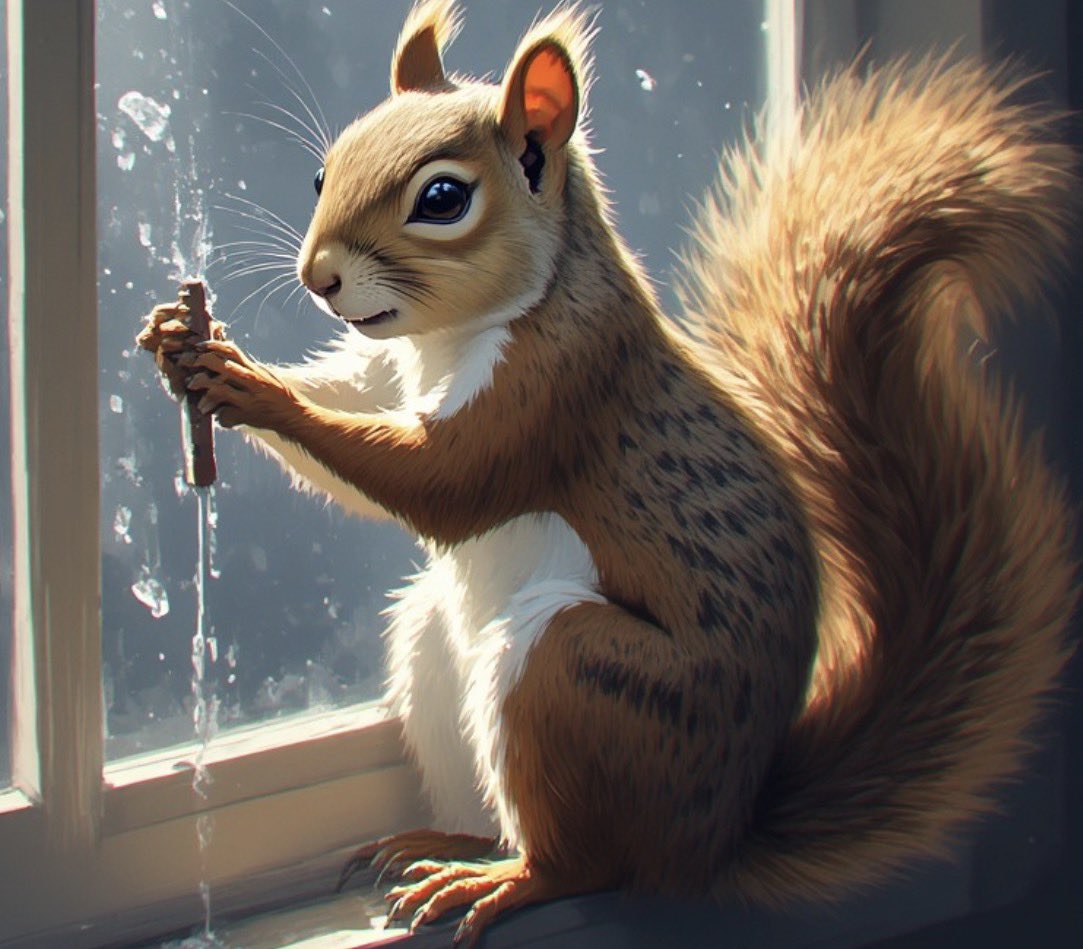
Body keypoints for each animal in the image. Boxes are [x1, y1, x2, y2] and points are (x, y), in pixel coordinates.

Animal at [138, 1, 1078, 945]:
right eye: (322, 170)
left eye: (442, 199)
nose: (318, 276)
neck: (453, 335)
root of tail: (710, 839)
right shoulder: (391, 374)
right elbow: (349, 394)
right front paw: (182, 340)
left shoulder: (558, 388)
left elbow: (437, 481)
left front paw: (247, 385)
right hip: (438, 652)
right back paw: (444, 843)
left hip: (581, 680)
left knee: (582, 861)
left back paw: (495, 882)